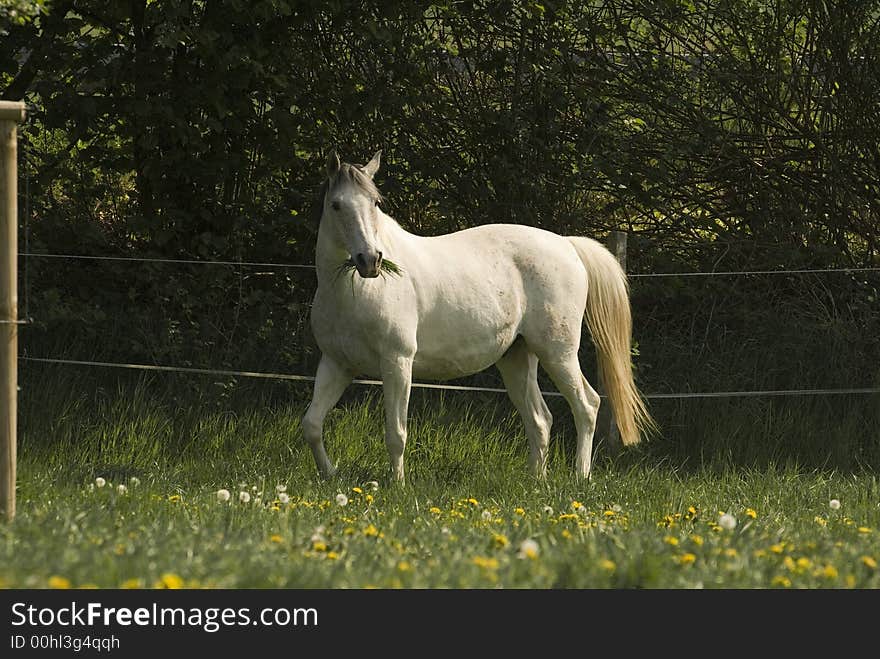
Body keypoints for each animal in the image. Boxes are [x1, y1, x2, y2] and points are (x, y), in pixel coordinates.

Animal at [302, 150, 652, 482]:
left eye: (375, 203)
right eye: (336, 205)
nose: (371, 260)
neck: (353, 291)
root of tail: (567, 245)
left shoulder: (397, 362)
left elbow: (396, 434)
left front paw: (397, 484)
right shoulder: (337, 364)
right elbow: (312, 425)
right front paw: (330, 474)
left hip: (558, 353)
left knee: (586, 405)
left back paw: (580, 476)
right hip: (517, 358)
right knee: (540, 420)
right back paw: (537, 480)